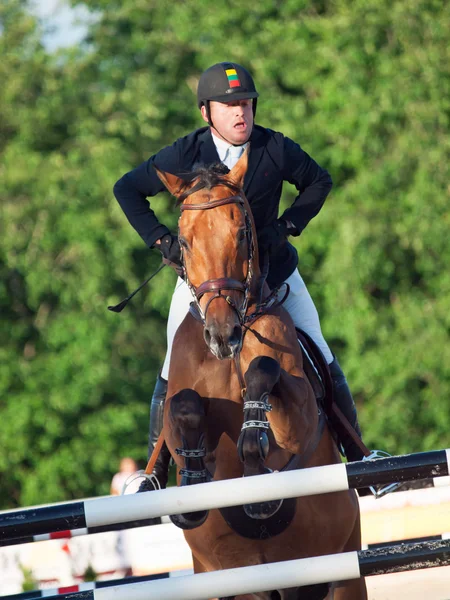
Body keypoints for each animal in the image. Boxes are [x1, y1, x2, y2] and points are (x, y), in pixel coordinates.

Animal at [154, 151, 366, 600]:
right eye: (184, 241)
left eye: (241, 233)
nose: (223, 334)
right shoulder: (178, 413)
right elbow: (182, 405)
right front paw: (195, 472)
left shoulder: (300, 419)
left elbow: (264, 370)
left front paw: (253, 443)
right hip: (234, 581)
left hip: (342, 571)